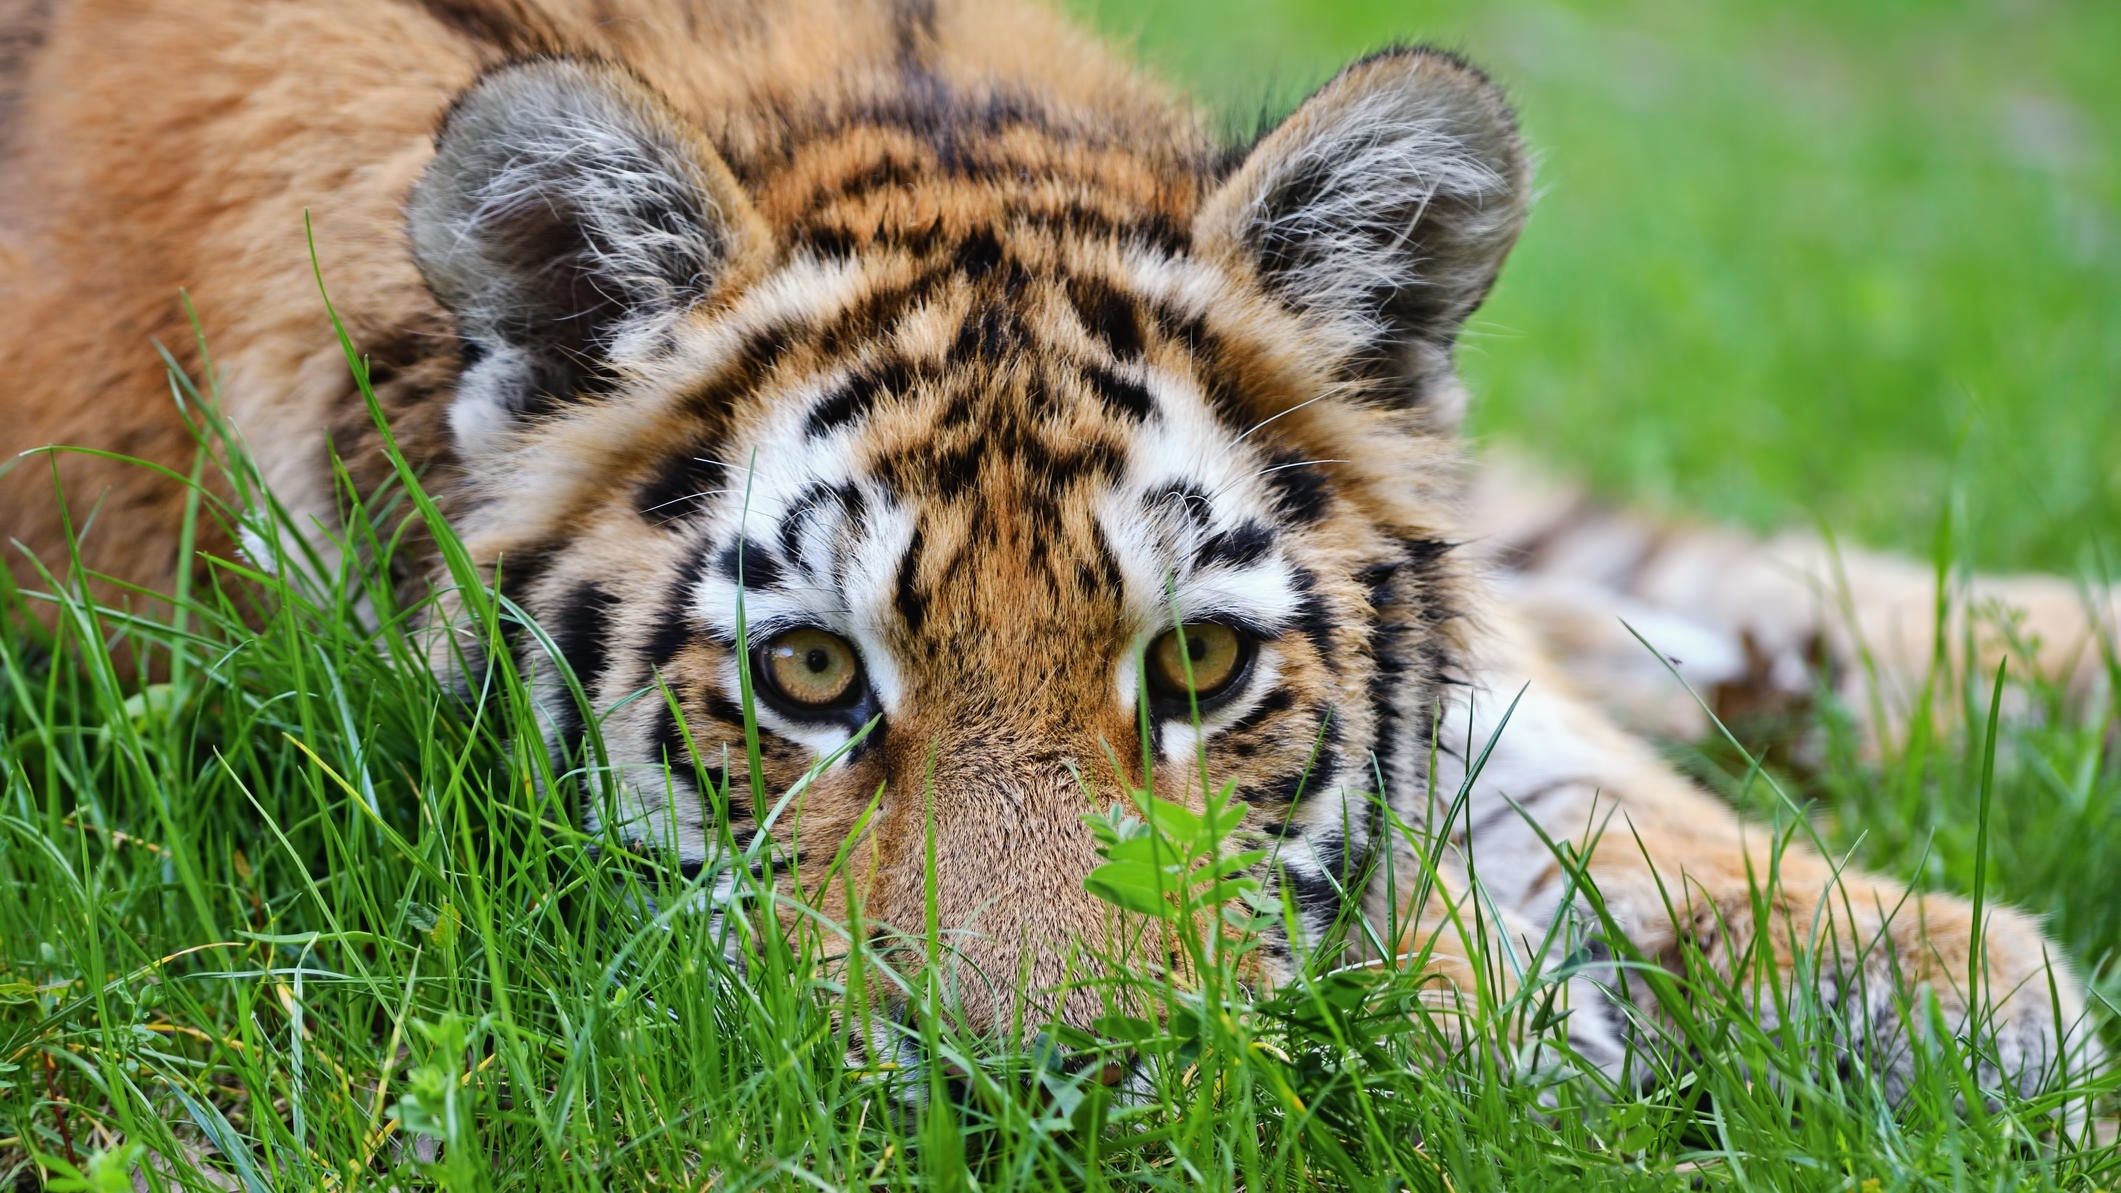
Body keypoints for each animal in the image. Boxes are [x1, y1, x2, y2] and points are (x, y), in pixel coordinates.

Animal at [0, 0, 2110, 1098]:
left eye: (1199, 665)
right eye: (808, 676)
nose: (1032, 1093)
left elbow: (1536, 756)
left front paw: (1949, 976)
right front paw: (1489, 1005)